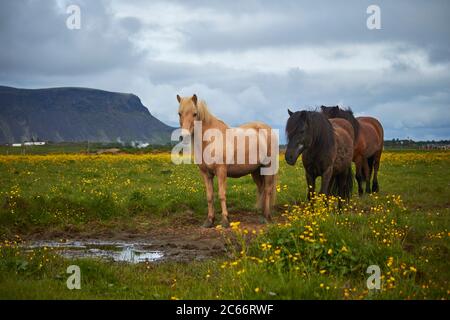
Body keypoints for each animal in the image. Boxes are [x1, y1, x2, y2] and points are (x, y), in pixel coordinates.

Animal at [177, 94, 278, 229]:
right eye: (179, 113)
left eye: (194, 114)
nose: (184, 136)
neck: (210, 140)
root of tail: (268, 129)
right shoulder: (206, 174)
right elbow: (210, 196)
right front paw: (209, 220)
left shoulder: (221, 171)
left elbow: (221, 194)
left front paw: (225, 220)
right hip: (256, 170)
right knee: (261, 189)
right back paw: (262, 216)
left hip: (268, 167)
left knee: (267, 190)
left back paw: (267, 217)